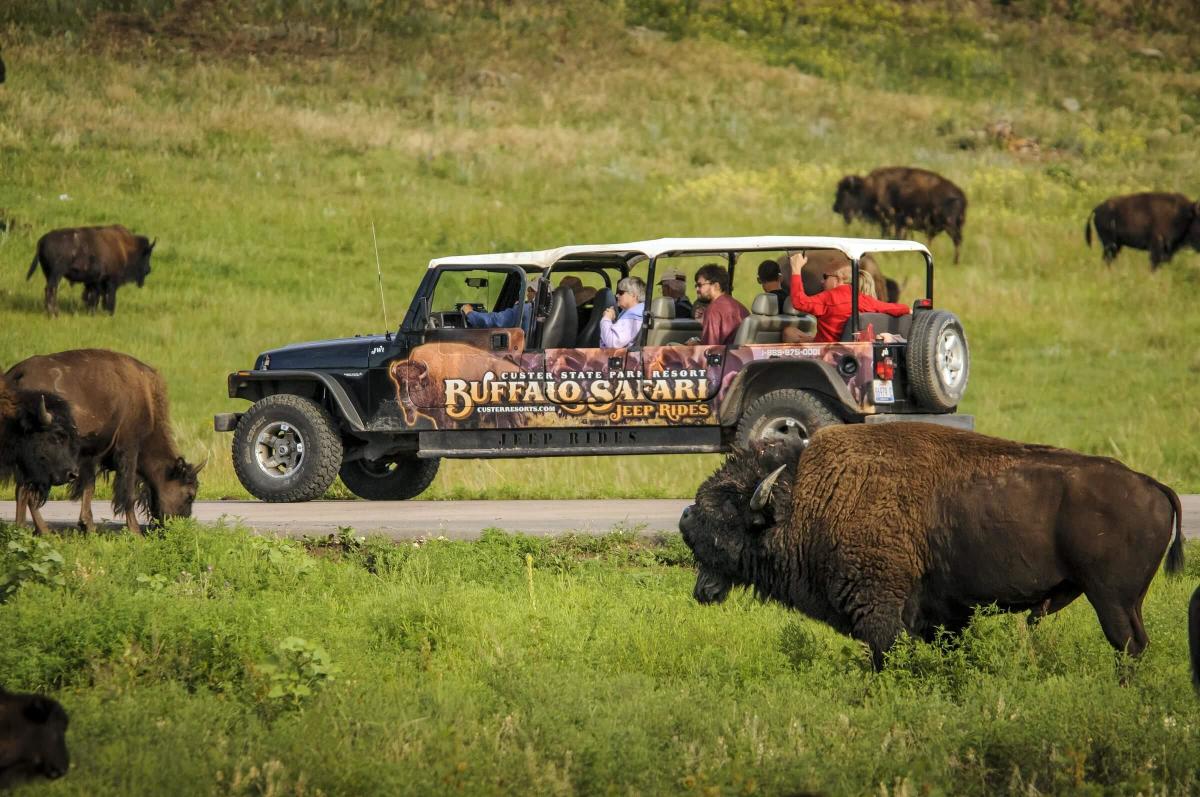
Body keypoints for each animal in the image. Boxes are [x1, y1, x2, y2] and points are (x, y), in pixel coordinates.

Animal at [7, 348, 199, 535]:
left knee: (22, 490)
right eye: (190, 495)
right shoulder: (129, 449)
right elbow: (127, 492)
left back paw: (23, 529)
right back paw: (43, 531)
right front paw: (136, 532)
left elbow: (89, 487)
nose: (181, 527)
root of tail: (17, 373)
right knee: (28, 492)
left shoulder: (91, 455)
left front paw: (88, 527)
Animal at [24, 225, 157, 316]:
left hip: (49, 274)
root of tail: (41, 241)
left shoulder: (94, 282)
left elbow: (94, 296)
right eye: (147, 254)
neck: (126, 248)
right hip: (56, 274)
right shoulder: (111, 281)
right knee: (51, 290)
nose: (149, 269)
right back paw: (54, 314)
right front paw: (110, 313)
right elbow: (109, 298)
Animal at [681, 420, 1185, 676]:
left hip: (1110, 598)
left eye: (728, 508)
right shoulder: (944, 615)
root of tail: (1154, 486)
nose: (685, 519)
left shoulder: (880, 611)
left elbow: (883, 656)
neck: (808, 495)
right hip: (1127, 600)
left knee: (1127, 645)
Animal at [835, 166, 964, 262]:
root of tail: (961, 195)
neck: (870, 189)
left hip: (950, 226)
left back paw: (955, 261)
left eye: (845, 192)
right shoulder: (900, 224)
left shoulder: (891, 222)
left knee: (957, 241)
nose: (835, 208)